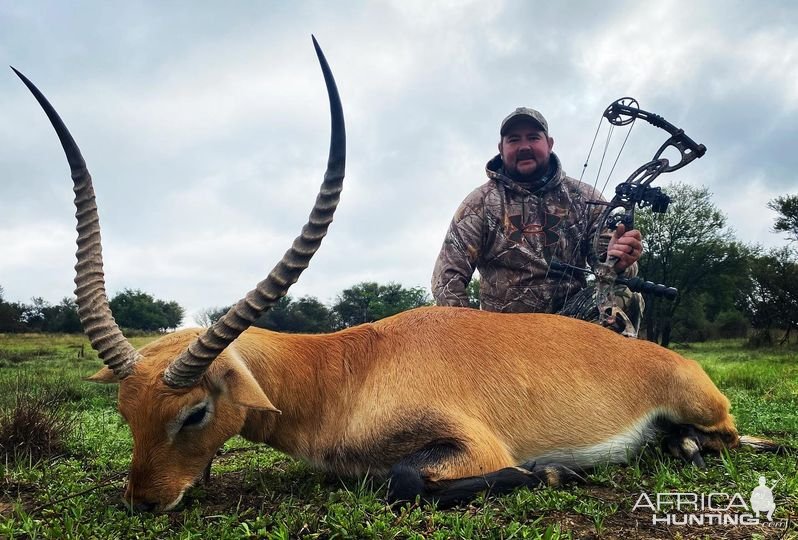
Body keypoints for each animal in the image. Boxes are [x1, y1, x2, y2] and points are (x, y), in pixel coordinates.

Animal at [15, 40, 780, 512]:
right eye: (125, 409)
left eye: (194, 411)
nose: (145, 500)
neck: (342, 370)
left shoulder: (470, 445)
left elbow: (405, 480)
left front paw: (551, 468)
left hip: (709, 409)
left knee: (735, 438)